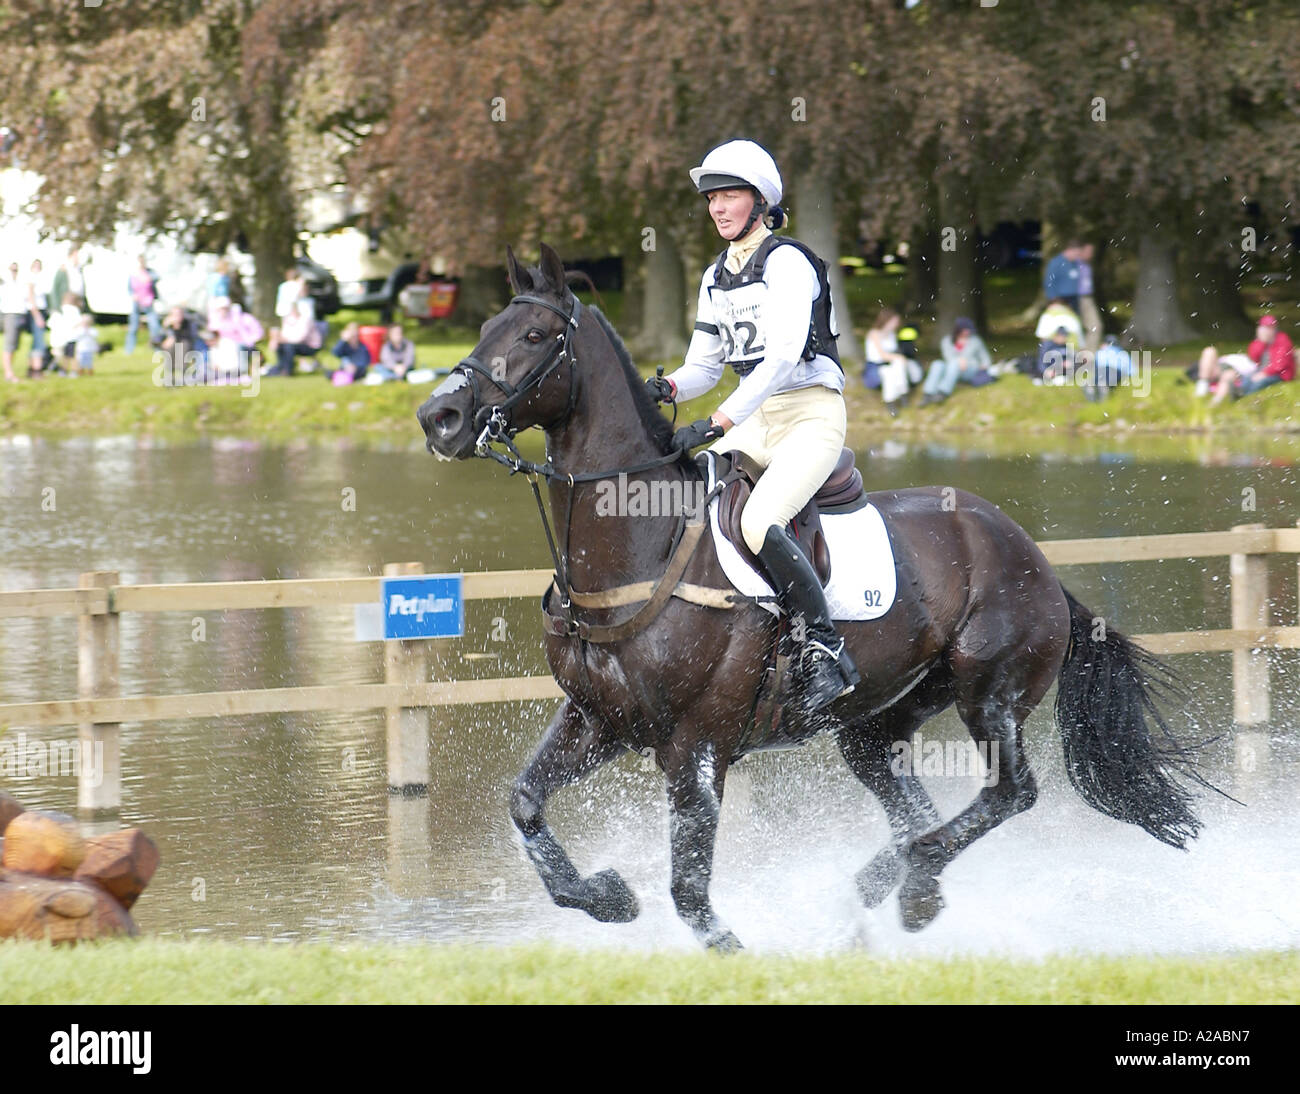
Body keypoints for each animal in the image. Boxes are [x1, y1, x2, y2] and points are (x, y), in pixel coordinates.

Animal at [417, 242, 1211, 951]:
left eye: (534, 336)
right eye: (484, 329)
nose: (438, 418)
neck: (637, 546)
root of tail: (1036, 559)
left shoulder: (697, 746)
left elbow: (689, 888)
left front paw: (730, 951)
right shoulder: (598, 720)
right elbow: (526, 804)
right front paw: (606, 896)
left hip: (992, 696)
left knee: (1007, 795)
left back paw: (911, 891)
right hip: (876, 723)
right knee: (916, 812)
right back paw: (880, 894)